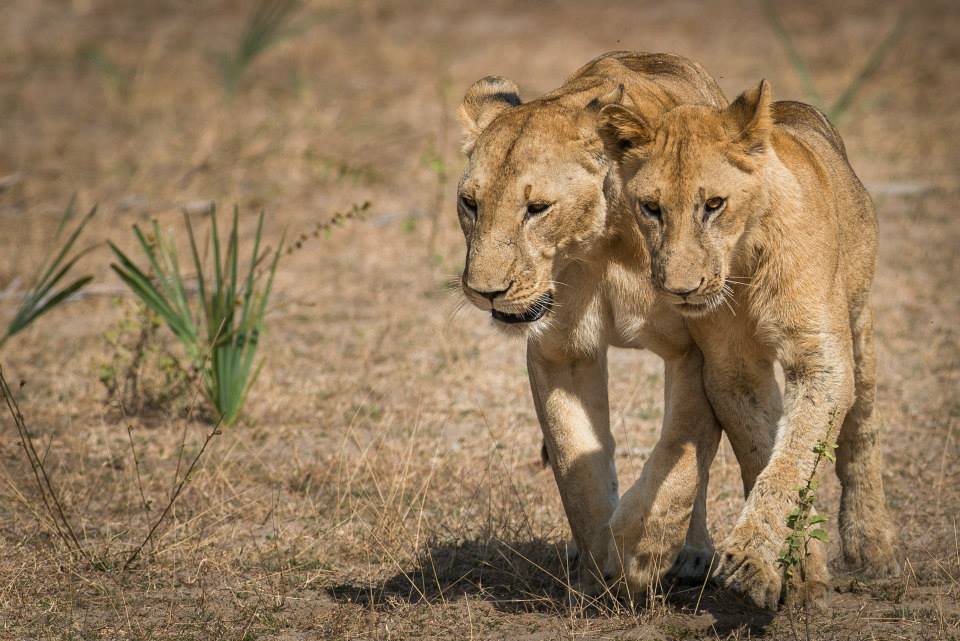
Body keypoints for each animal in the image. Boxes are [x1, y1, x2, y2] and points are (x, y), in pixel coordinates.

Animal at [455, 51, 781, 591]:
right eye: (470, 204)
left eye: (537, 208)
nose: (485, 292)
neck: (602, 242)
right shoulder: (560, 352)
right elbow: (575, 461)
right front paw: (598, 565)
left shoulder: (696, 349)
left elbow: (681, 453)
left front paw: (641, 552)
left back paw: (690, 553)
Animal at [597, 80, 901, 608]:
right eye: (651, 207)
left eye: (714, 204)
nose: (681, 289)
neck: (743, 261)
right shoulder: (731, 368)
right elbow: (764, 453)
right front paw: (792, 571)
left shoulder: (821, 357)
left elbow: (792, 459)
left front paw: (756, 558)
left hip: (859, 317)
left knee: (862, 426)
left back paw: (871, 544)